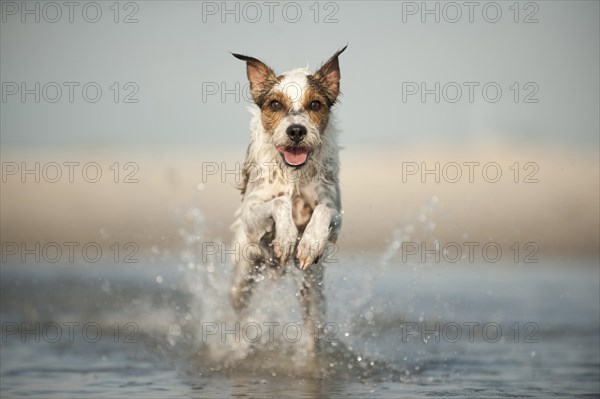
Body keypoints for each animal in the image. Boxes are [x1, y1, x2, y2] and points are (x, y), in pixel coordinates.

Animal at [230, 47, 346, 354]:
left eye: (315, 104)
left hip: (313, 294)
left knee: (313, 332)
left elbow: (323, 211)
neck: (293, 174)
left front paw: (308, 243)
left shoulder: (337, 215)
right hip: (243, 274)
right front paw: (285, 237)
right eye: (275, 104)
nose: (296, 130)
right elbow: (279, 203)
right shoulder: (251, 212)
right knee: (238, 313)